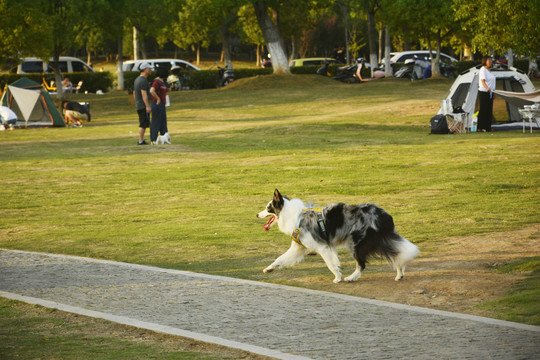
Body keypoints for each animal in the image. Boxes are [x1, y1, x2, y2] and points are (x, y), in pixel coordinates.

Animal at [255, 190, 420, 282]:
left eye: (268, 208)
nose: (257, 214)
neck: (294, 216)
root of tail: (383, 215)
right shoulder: (298, 248)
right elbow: (280, 258)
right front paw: (269, 269)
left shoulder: (323, 247)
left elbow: (330, 264)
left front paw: (338, 278)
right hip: (379, 241)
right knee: (396, 255)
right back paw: (399, 275)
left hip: (356, 244)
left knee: (362, 264)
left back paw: (351, 278)